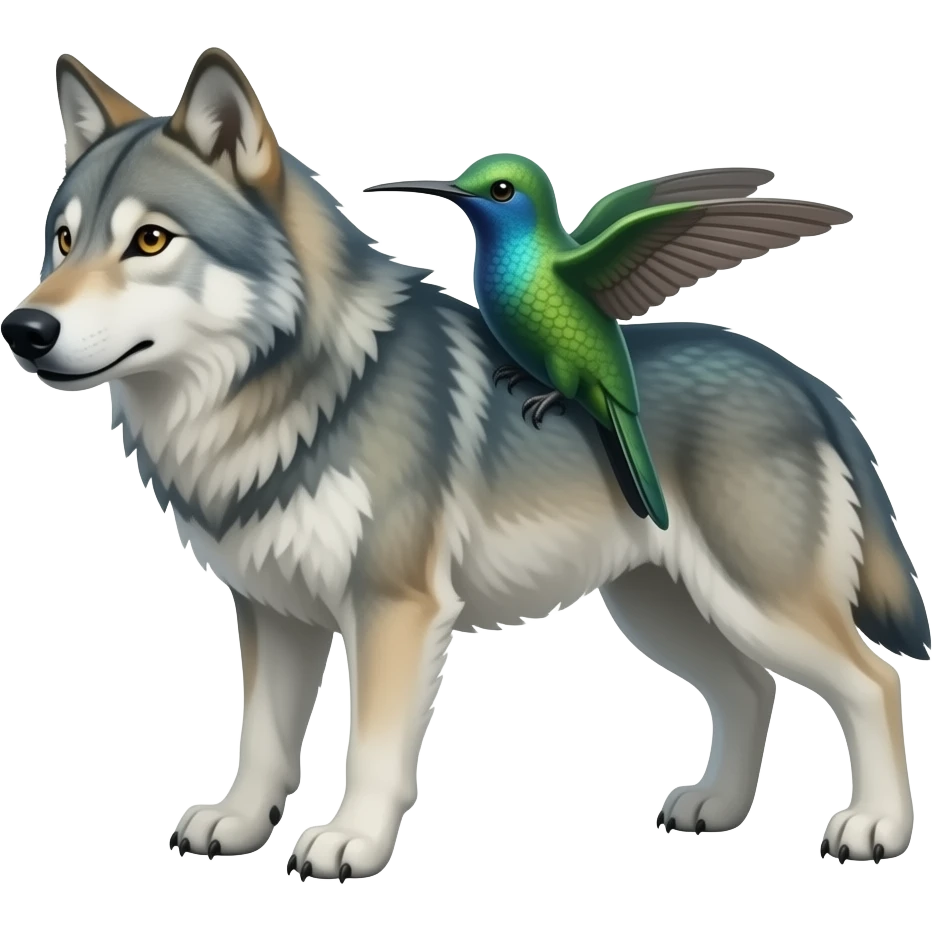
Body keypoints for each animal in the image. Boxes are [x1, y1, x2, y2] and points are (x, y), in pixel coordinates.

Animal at [2, 48, 927, 880]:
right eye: (63, 240)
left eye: (150, 240)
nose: (24, 329)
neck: (281, 398)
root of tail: (805, 381)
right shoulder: (273, 610)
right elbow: (262, 739)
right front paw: (237, 823)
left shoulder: (394, 608)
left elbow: (372, 748)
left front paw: (350, 843)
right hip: (662, 608)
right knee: (751, 689)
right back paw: (718, 808)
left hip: (755, 603)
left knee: (873, 682)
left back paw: (875, 827)